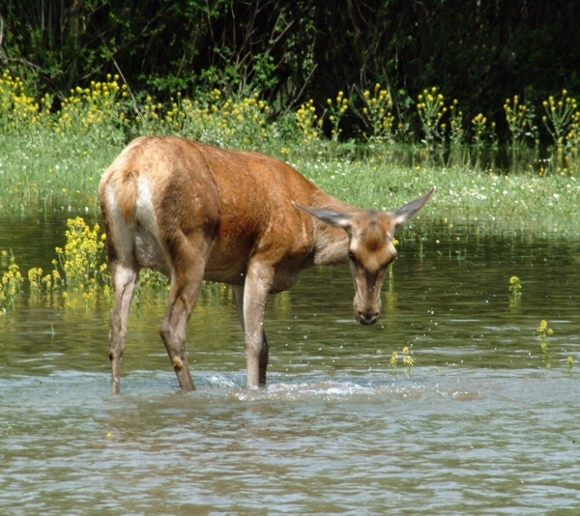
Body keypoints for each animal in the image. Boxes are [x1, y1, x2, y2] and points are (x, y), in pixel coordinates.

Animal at [99, 135, 436, 394]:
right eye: (352, 255)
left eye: (391, 257)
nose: (368, 313)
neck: (309, 238)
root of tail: (129, 176)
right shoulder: (263, 260)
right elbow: (254, 343)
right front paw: (253, 391)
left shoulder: (236, 276)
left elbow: (264, 346)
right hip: (190, 248)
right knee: (171, 328)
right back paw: (190, 390)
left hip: (121, 254)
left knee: (117, 332)